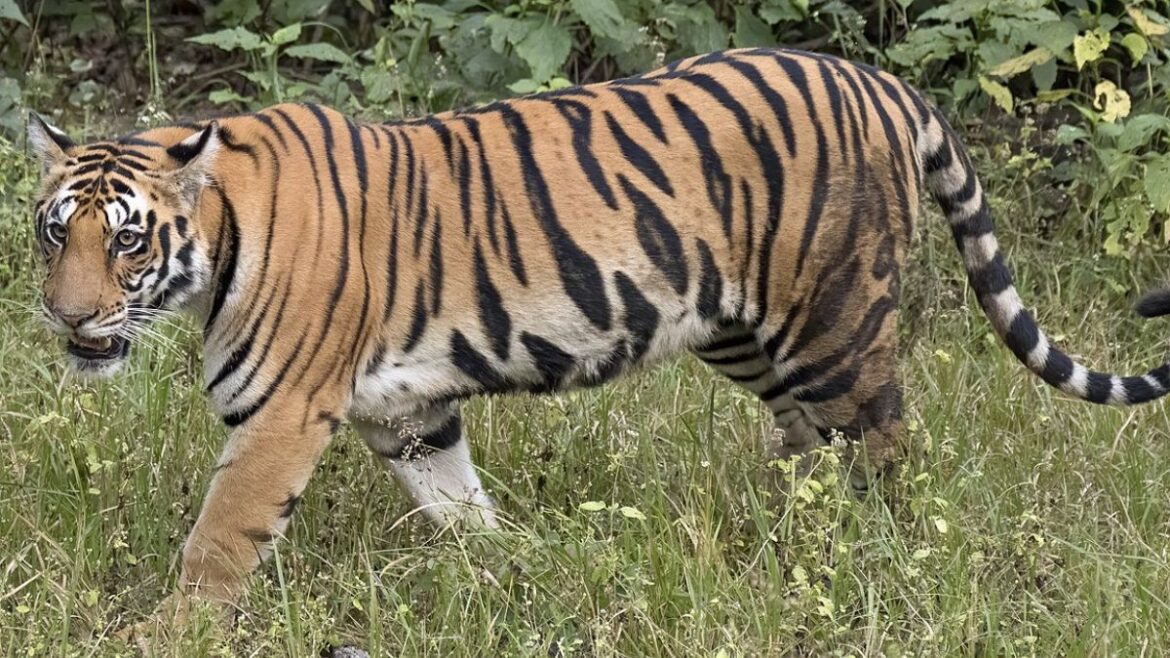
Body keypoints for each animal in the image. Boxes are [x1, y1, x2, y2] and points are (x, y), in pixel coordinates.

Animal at [27, 47, 1170, 635]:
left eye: (126, 242)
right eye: (52, 230)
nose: (69, 318)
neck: (217, 243)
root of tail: (880, 80)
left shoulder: (280, 416)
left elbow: (219, 540)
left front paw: (162, 638)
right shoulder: (409, 412)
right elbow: (458, 504)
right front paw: (509, 572)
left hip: (836, 320)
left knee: (887, 450)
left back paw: (880, 564)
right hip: (744, 332)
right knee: (810, 447)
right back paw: (787, 545)